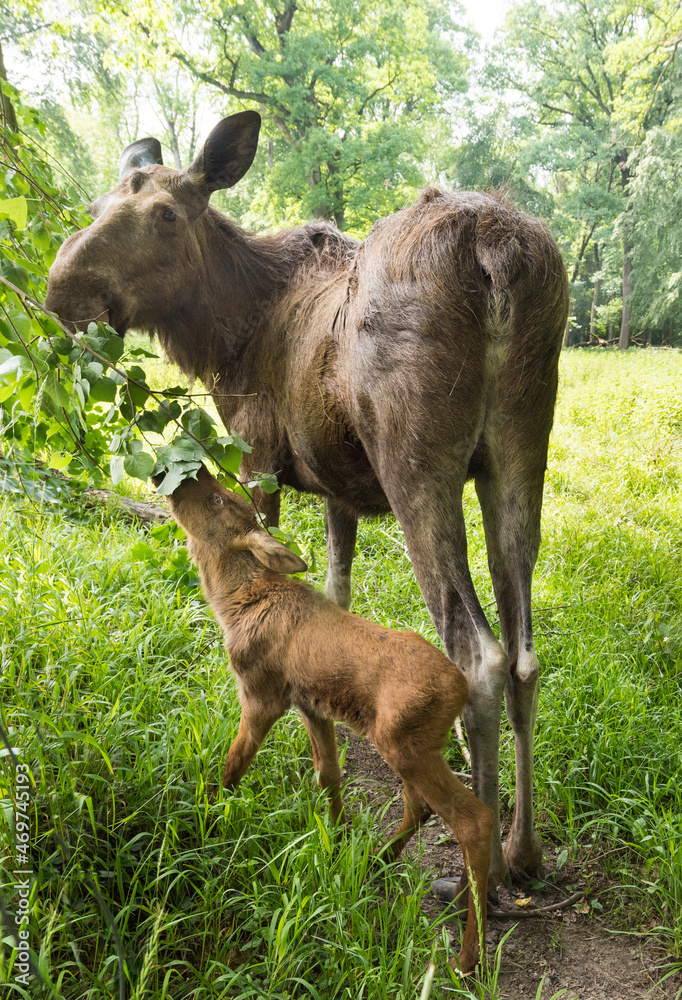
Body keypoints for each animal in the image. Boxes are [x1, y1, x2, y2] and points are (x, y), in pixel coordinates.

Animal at [45, 110, 570, 897]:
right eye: (97, 205)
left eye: (166, 214)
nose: (61, 294)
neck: (226, 333)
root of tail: (497, 249)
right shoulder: (336, 487)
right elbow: (334, 593)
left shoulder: (258, 457)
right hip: (518, 450)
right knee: (527, 657)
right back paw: (525, 849)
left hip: (417, 462)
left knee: (479, 654)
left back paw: (482, 875)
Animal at [157, 464, 493, 974]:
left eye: (217, 499)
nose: (177, 470)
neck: (234, 604)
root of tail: (461, 689)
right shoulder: (310, 704)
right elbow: (328, 773)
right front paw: (337, 837)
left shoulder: (261, 693)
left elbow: (234, 763)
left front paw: (207, 818)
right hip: (414, 742)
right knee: (419, 806)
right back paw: (376, 858)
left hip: (402, 742)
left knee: (474, 820)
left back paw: (469, 955)